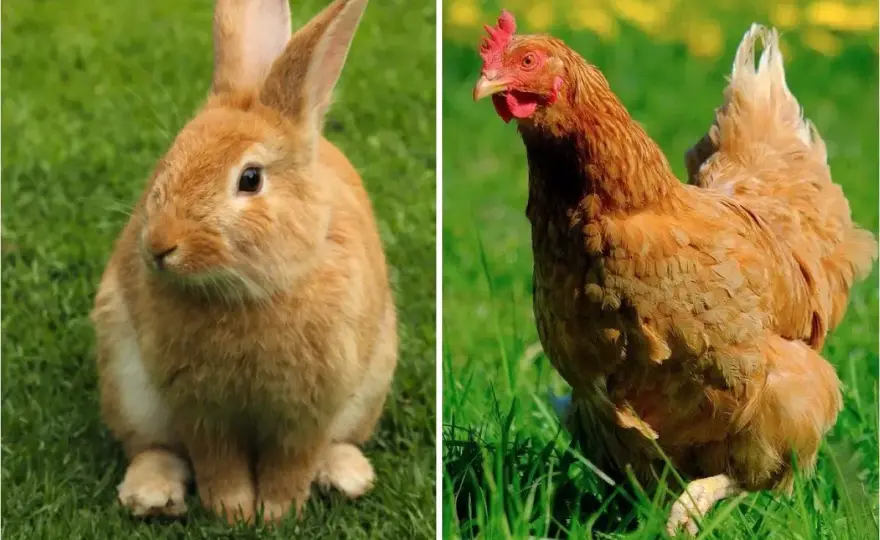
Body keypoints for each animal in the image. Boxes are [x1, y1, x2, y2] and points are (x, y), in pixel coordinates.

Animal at [90, 0, 397, 524]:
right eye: (168, 159)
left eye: (250, 179)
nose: (160, 246)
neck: (249, 295)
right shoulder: (200, 409)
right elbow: (218, 462)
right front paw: (233, 511)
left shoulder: (310, 411)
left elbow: (290, 464)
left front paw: (275, 514)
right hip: (128, 386)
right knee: (153, 448)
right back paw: (152, 496)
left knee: (338, 443)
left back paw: (346, 477)